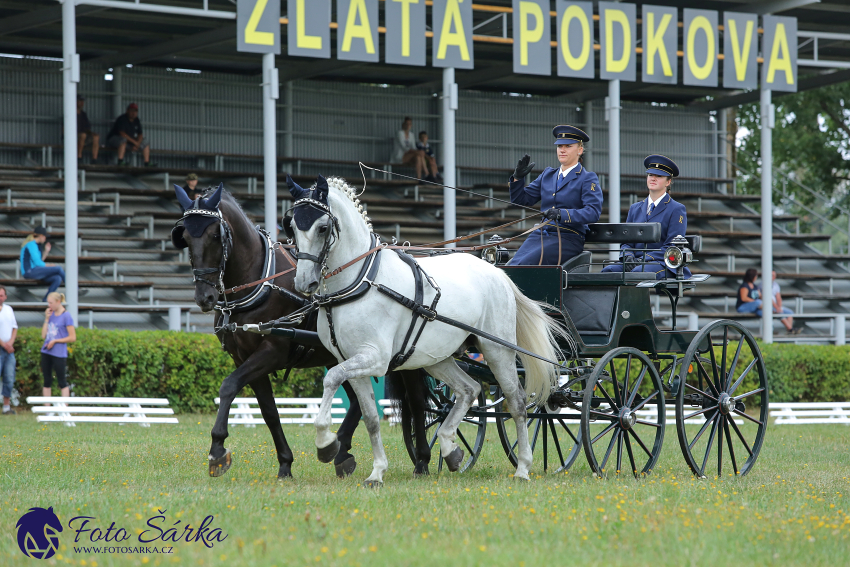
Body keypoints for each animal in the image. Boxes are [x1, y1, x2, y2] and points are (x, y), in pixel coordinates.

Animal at [170, 185, 430, 480]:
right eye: (185, 238)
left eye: (216, 235)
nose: (205, 297)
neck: (261, 281)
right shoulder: (243, 358)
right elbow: (269, 412)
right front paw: (285, 463)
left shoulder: (271, 352)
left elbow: (228, 386)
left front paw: (217, 449)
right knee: (357, 403)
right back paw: (341, 451)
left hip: (407, 356)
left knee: (417, 403)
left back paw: (422, 460)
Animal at [288, 175, 568, 486]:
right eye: (292, 227)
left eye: (322, 227)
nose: (304, 283)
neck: (361, 281)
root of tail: (497, 271)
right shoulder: (350, 360)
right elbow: (370, 418)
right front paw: (377, 471)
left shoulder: (375, 359)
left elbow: (331, 380)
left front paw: (325, 444)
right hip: (437, 357)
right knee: (469, 389)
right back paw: (450, 449)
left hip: (497, 350)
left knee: (516, 402)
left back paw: (522, 468)